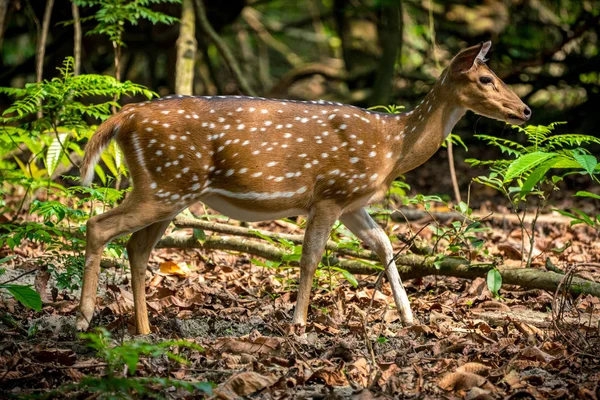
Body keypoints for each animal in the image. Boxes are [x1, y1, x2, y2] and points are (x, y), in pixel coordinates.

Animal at [76, 41, 528, 334]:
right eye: (486, 78)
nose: (525, 109)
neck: (392, 146)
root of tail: (125, 116)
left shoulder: (352, 200)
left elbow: (385, 244)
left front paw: (410, 318)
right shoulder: (330, 192)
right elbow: (310, 257)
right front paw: (298, 323)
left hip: (170, 189)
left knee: (136, 247)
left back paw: (144, 329)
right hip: (166, 183)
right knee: (99, 226)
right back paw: (83, 318)